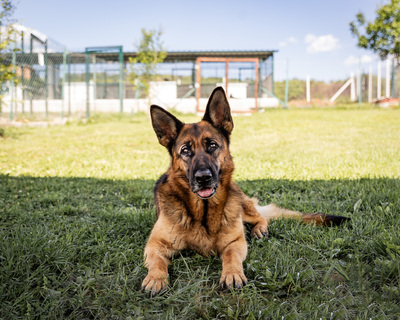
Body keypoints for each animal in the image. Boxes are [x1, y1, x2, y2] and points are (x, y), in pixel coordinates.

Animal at [142, 87, 348, 296]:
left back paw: (260, 230)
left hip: (242, 206)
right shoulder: (155, 245)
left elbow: (231, 256)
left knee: (261, 217)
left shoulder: (236, 242)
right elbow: (157, 262)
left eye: (212, 145)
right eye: (185, 151)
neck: (204, 213)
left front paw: (232, 274)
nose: (203, 177)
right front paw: (155, 278)